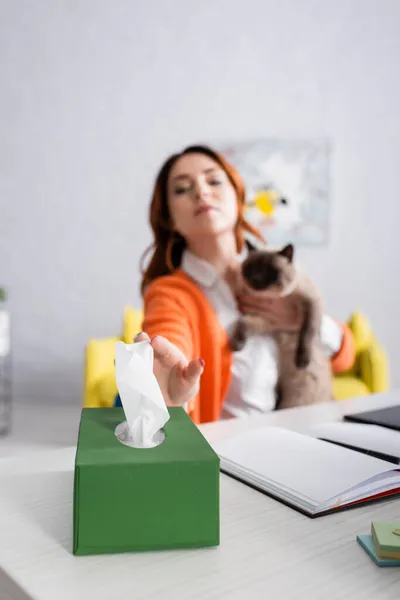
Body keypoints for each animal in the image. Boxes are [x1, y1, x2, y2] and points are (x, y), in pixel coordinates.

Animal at [227, 243, 332, 408]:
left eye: (271, 271)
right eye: (251, 268)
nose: (256, 279)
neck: (273, 297)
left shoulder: (311, 303)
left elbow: (307, 332)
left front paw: (302, 361)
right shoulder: (268, 321)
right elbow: (243, 323)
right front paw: (237, 345)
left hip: (298, 398)